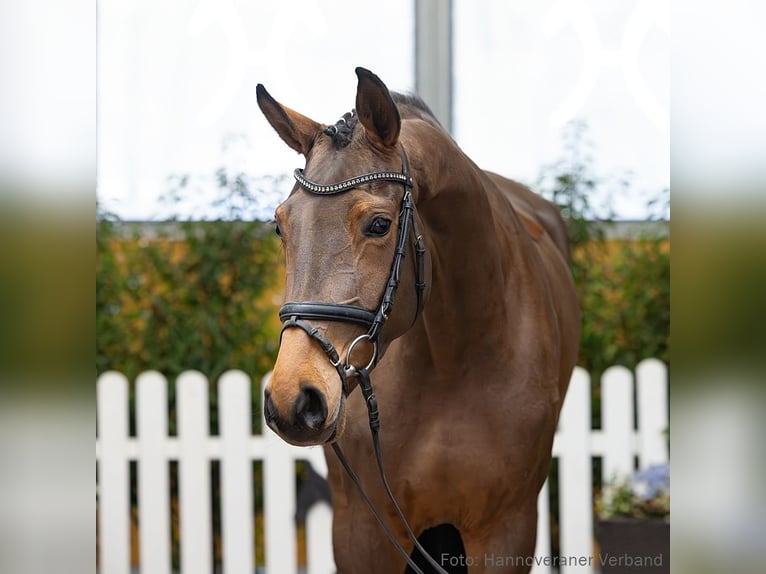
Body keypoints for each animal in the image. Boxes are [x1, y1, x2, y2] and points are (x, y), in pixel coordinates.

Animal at [257, 67, 580, 573]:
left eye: (379, 224)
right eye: (280, 226)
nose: (294, 399)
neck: (452, 358)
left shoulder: (507, 527)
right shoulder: (362, 529)